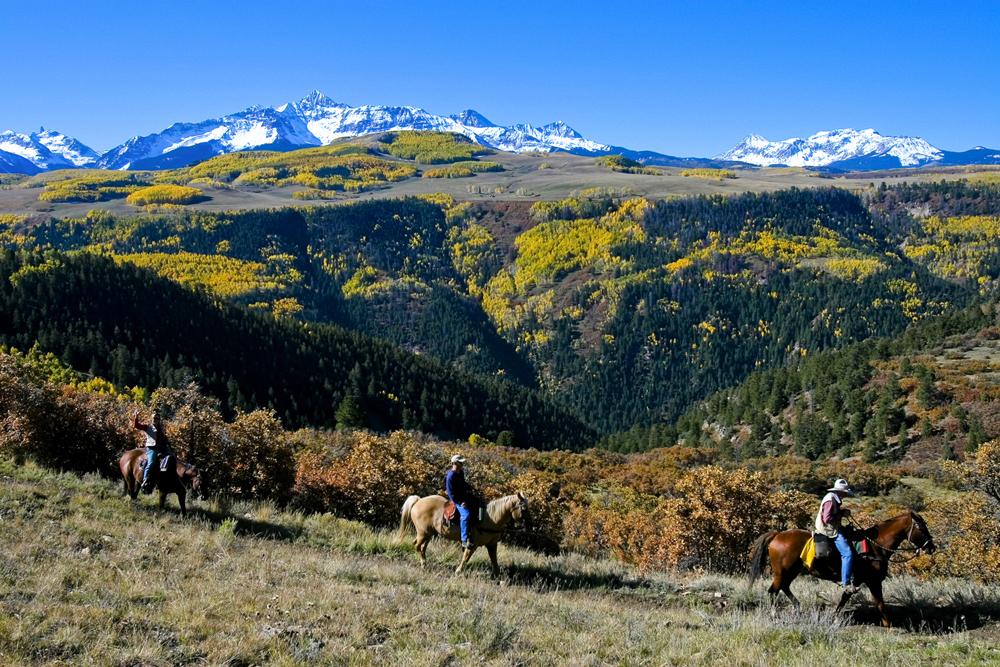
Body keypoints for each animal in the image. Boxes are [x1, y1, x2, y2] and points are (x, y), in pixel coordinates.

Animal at [396, 494, 528, 576]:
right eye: (524, 509)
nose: (526, 526)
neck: (490, 518)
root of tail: (418, 501)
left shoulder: (492, 545)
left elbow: (494, 560)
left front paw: (498, 576)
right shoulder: (472, 544)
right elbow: (466, 557)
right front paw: (458, 571)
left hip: (429, 533)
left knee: (422, 547)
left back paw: (424, 563)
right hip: (423, 533)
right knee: (417, 546)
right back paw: (423, 563)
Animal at [752, 512, 936, 628]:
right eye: (921, 528)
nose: (931, 547)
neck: (875, 546)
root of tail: (777, 535)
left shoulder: (858, 581)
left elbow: (844, 599)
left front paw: (834, 619)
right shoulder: (873, 581)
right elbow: (880, 604)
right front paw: (888, 625)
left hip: (792, 571)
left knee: (783, 587)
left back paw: (797, 607)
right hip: (782, 572)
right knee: (773, 590)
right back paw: (775, 616)